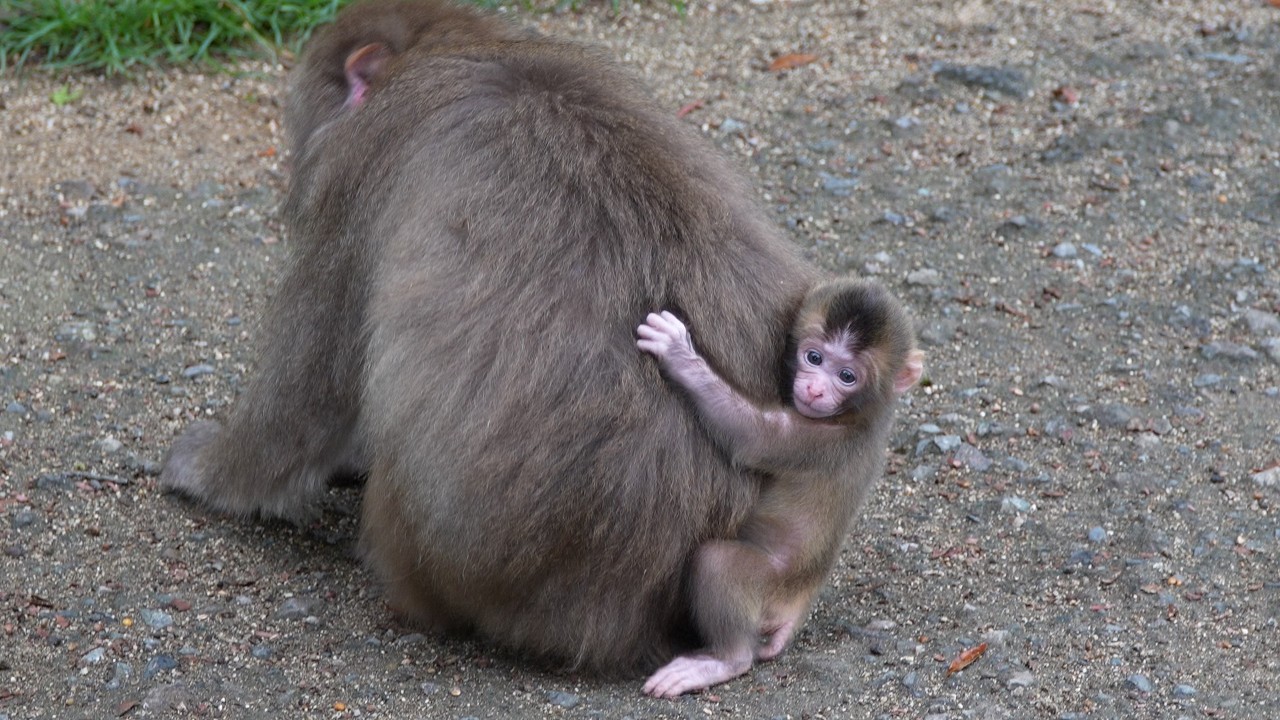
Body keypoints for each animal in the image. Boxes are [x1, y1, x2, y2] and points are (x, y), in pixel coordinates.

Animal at [635, 278, 924, 697]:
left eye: (847, 376)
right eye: (814, 357)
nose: (815, 390)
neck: (862, 415)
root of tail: (797, 603)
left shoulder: (821, 441)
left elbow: (753, 435)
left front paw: (679, 355)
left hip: (767, 584)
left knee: (718, 565)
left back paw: (724, 660)